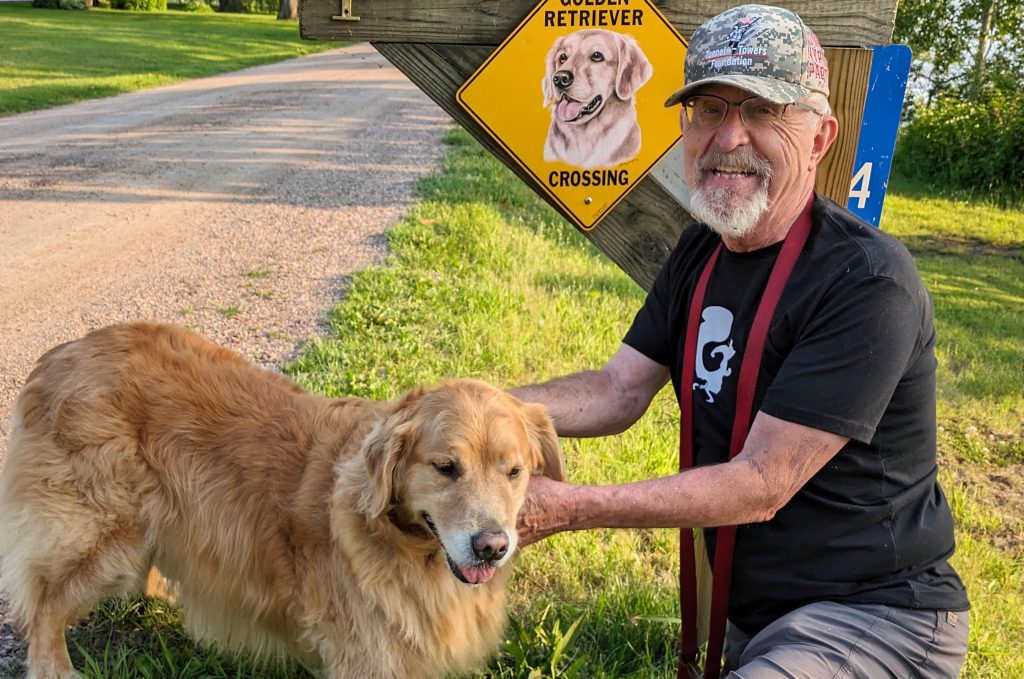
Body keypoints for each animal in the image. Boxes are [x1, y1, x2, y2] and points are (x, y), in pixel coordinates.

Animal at [0, 323, 561, 679]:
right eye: (446, 468)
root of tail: (63, 354)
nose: (492, 546)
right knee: (44, 605)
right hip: (103, 535)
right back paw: (55, 668)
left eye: (514, 473)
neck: (404, 547)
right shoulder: (368, 655)